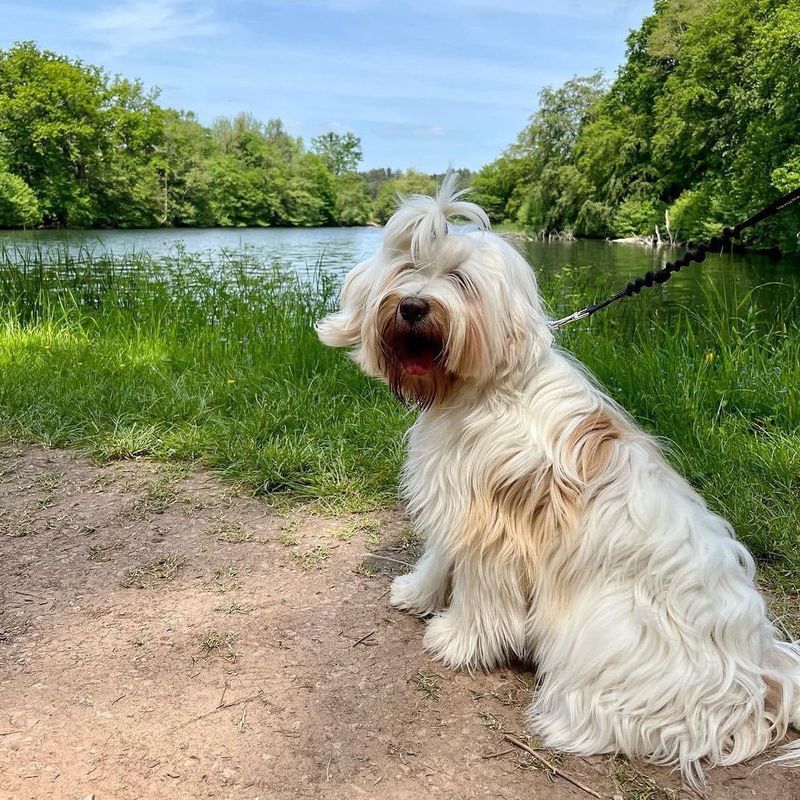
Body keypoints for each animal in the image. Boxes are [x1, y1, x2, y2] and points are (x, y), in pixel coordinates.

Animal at [314, 177, 800, 788]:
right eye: (406, 267)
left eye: (460, 280)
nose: (413, 306)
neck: (483, 390)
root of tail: (755, 675)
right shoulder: (454, 503)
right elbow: (437, 558)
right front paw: (416, 593)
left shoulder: (495, 529)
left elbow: (481, 597)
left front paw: (456, 641)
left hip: (607, 626)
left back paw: (567, 721)